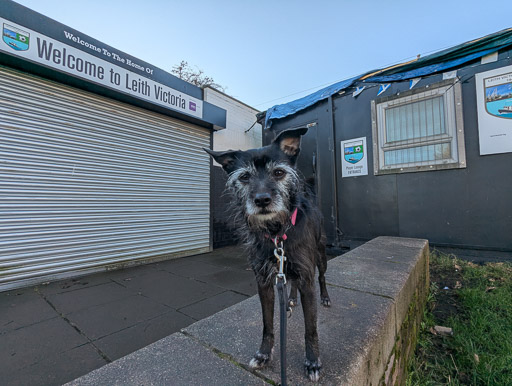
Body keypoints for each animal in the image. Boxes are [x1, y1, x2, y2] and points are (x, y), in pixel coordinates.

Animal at [205, 127, 332, 382]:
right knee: (291, 282)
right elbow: (267, 323)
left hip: (321, 255)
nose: (262, 199)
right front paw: (264, 354)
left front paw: (313, 361)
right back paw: (291, 298)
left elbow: (311, 328)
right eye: (245, 177)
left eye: (279, 172)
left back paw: (324, 297)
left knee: (322, 277)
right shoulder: (263, 280)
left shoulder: (307, 278)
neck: (277, 232)